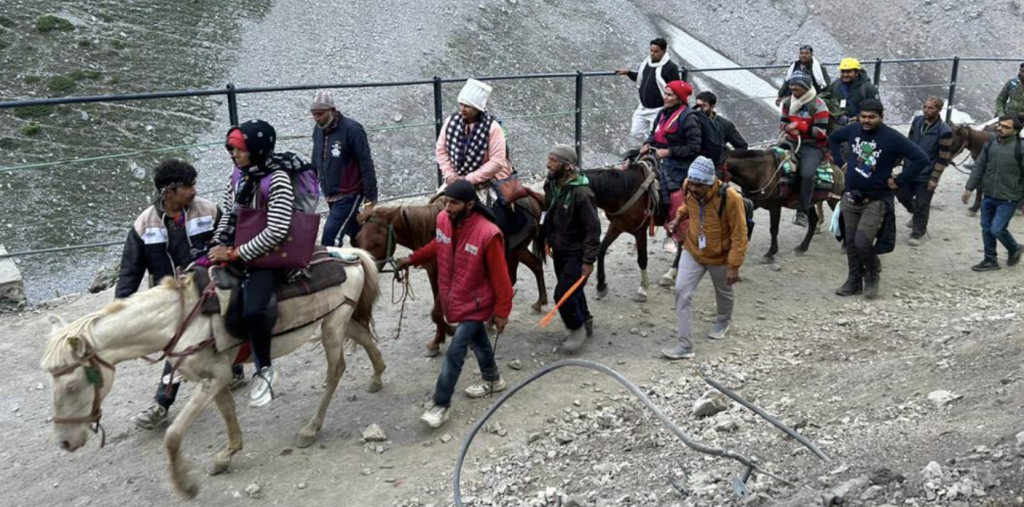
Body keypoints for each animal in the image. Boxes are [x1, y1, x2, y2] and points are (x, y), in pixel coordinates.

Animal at [38, 247, 385, 497]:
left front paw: (186, 485)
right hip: (338, 320)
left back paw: (311, 428)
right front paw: (226, 456)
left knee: (335, 371)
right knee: (364, 336)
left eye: (72, 386)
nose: (65, 442)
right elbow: (228, 414)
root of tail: (351, 255)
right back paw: (378, 376)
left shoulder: (213, 378)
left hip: (332, 327)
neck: (180, 319)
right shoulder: (216, 378)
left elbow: (173, 435)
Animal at [356, 196, 548, 354]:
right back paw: (538, 302)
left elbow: (436, 312)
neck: (429, 227)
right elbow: (437, 310)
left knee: (510, 280)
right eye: (357, 238)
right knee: (536, 265)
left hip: (514, 252)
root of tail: (533, 200)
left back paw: (493, 320)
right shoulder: (433, 272)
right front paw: (437, 341)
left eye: (377, 242)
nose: (364, 269)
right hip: (519, 251)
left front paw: (451, 331)